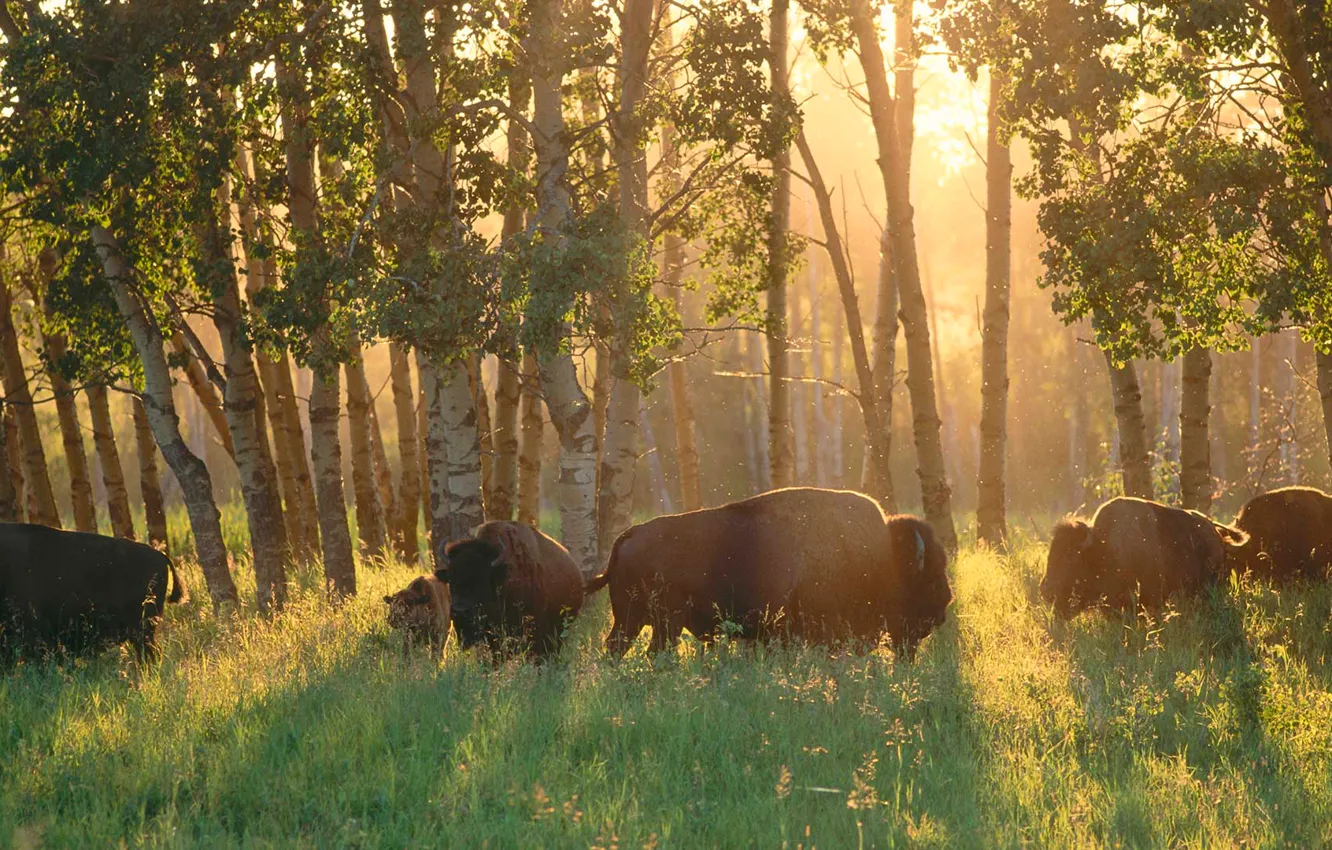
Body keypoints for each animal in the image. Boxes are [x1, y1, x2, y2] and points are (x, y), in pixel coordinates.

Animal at [588, 484, 953, 660]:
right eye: (930, 577)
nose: (943, 611)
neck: (883, 557)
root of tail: (629, 535)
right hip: (665, 624)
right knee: (655, 654)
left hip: (630, 620)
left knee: (616, 650)